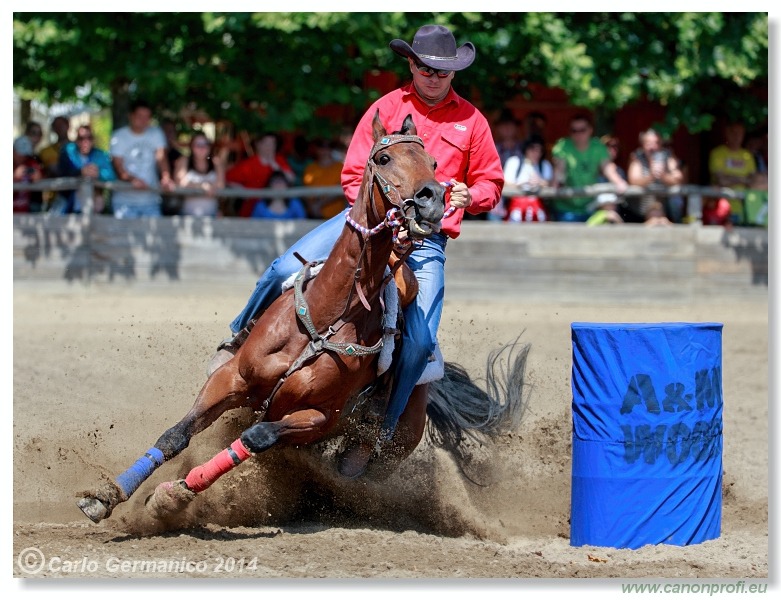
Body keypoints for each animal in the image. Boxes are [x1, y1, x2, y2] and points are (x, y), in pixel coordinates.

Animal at [77, 112, 532, 524]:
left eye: (436, 164)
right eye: (384, 159)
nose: (433, 199)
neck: (324, 315)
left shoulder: (316, 419)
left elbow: (254, 437)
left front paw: (171, 497)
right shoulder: (231, 381)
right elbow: (176, 435)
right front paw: (105, 496)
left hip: (384, 447)